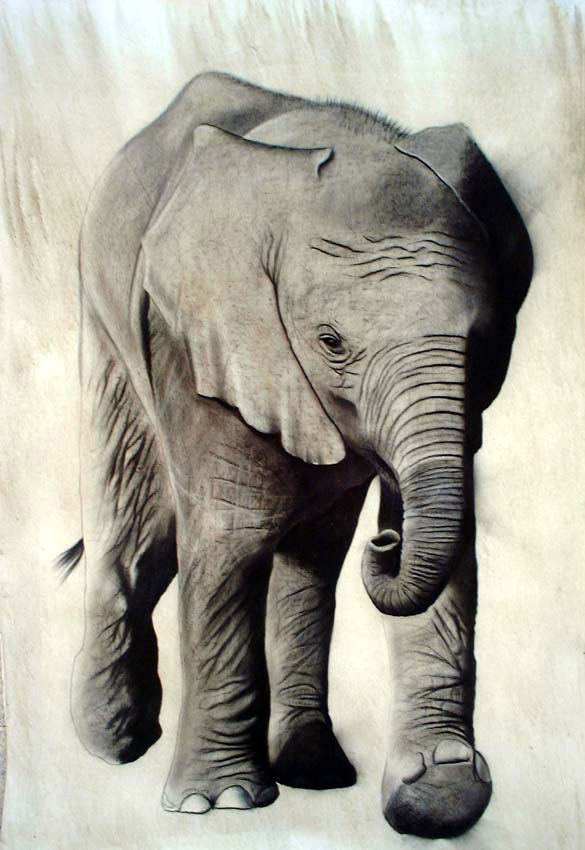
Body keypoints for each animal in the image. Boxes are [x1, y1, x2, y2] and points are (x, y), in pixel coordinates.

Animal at [58, 72, 532, 839]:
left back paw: (313, 771)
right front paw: (217, 804)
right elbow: (231, 531)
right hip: (105, 316)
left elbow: (447, 540)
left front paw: (436, 800)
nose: (387, 545)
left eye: (487, 337)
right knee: (133, 513)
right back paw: (113, 740)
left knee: (310, 554)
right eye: (331, 342)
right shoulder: (203, 331)